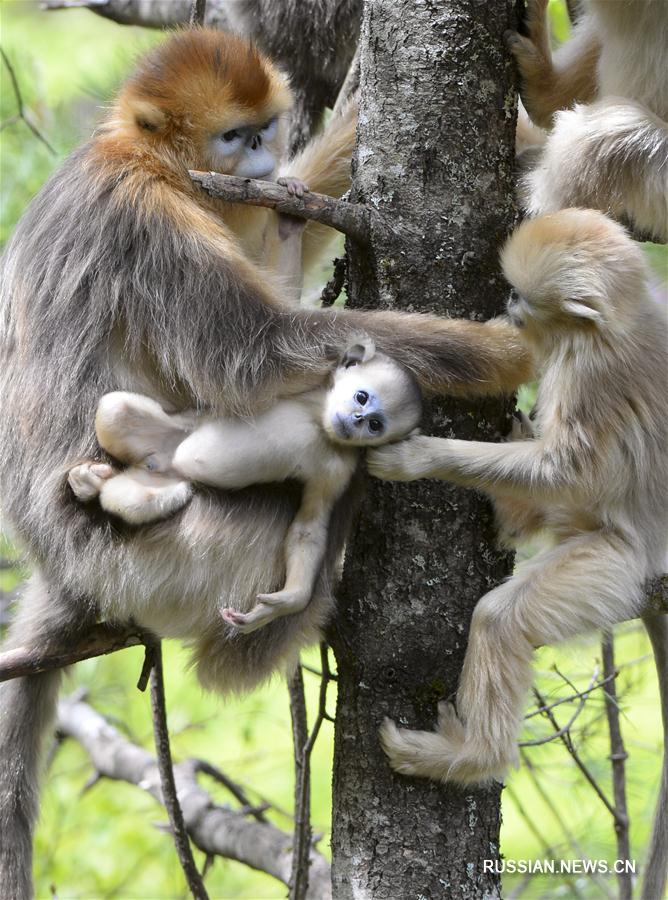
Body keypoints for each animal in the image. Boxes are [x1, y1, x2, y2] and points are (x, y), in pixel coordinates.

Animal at [69, 342, 422, 636]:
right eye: (361, 397)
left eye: (375, 425)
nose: (358, 418)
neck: (316, 421)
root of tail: (160, 464)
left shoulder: (337, 471)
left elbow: (308, 528)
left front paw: (286, 602)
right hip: (164, 439)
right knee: (114, 409)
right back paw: (92, 480)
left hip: (159, 478)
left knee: (133, 497)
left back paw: (108, 487)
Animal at [370, 211, 668, 900]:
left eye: (523, 295)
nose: (506, 302)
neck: (620, 320)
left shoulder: (590, 374)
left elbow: (567, 470)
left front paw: (416, 457)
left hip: (612, 569)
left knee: (501, 617)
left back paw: (466, 758)